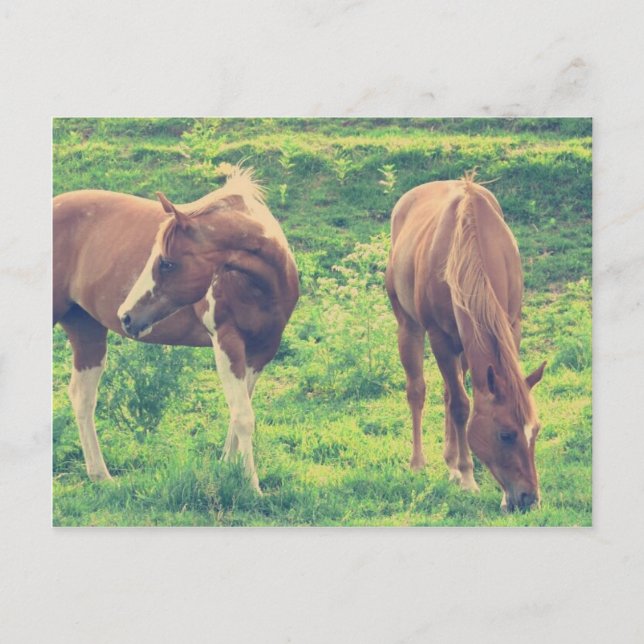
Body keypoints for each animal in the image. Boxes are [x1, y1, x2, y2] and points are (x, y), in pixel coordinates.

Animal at [53, 166, 299, 492]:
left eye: (166, 263)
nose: (126, 316)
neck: (263, 283)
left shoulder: (262, 350)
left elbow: (239, 411)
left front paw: (228, 467)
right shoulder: (227, 342)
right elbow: (244, 415)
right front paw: (252, 487)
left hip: (87, 330)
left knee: (83, 397)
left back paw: (100, 475)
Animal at [385, 174, 546, 511]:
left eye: (535, 431)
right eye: (505, 435)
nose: (528, 499)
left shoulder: (510, 328)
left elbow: (460, 399)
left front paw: (464, 473)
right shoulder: (441, 339)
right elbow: (461, 406)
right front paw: (468, 476)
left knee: (448, 391)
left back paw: (450, 465)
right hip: (410, 328)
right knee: (417, 391)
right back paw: (419, 464)